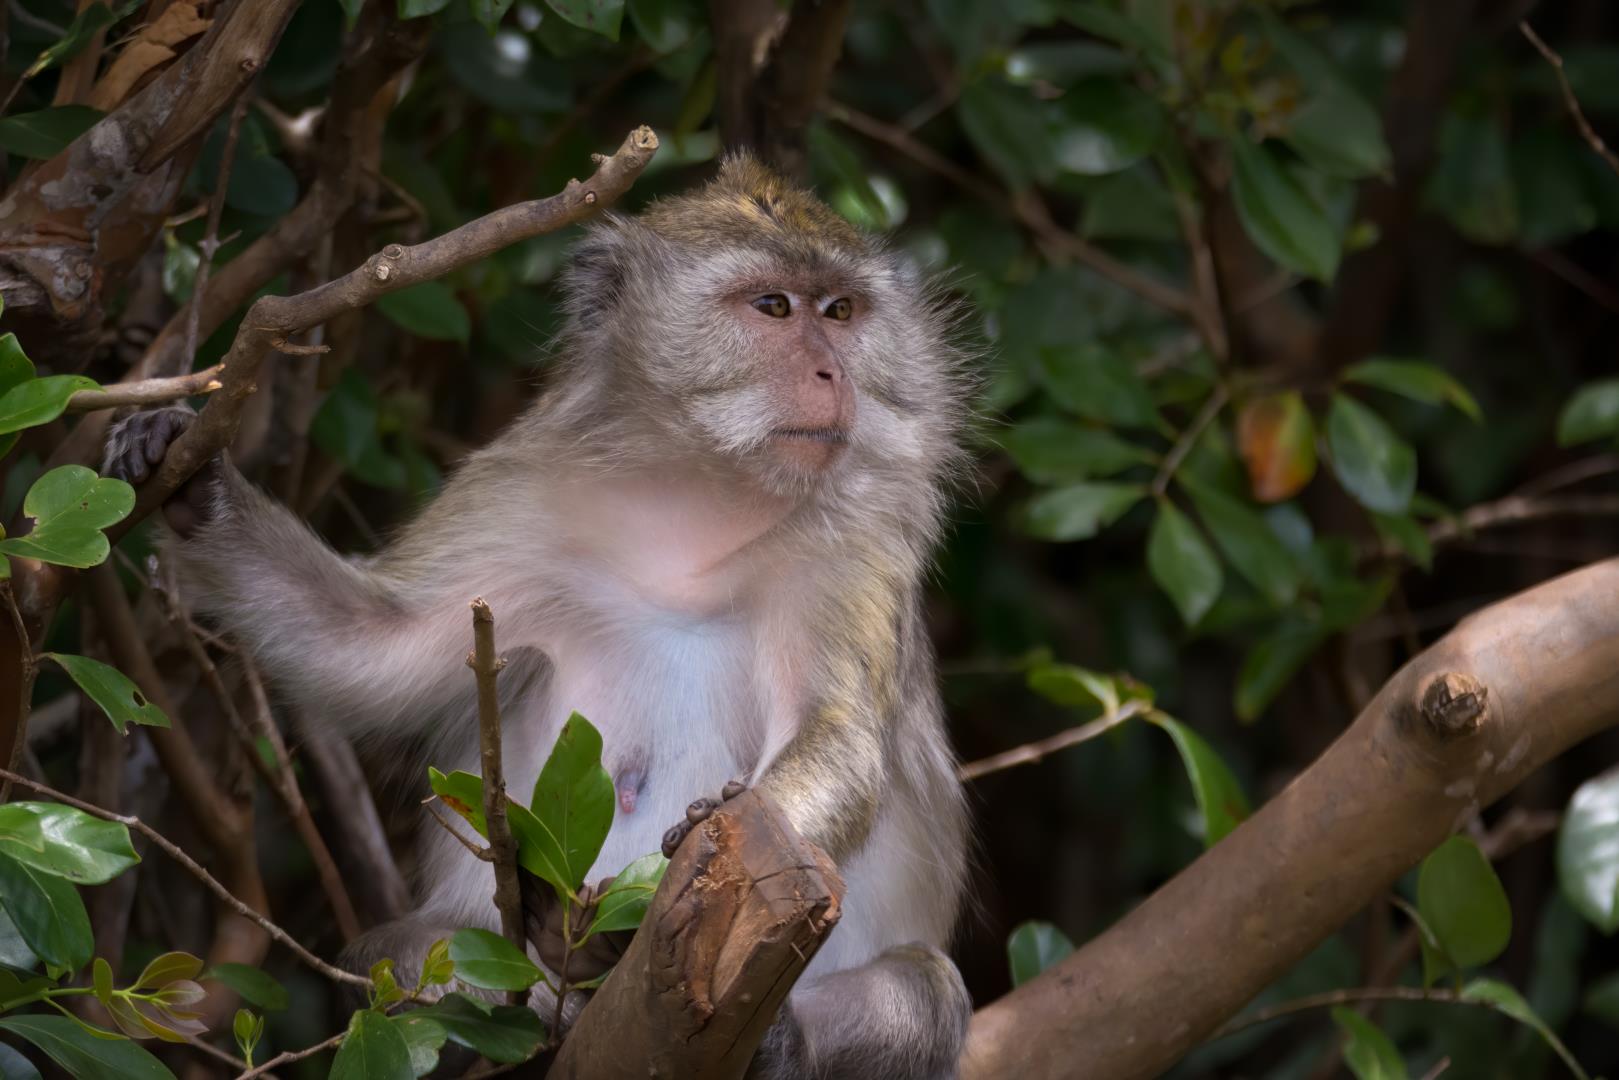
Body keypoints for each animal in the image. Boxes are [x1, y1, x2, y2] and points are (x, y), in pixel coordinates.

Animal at [114, 153, 977, 1080]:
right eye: (775, 307)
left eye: (841, 311)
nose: (832, 375)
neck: (705, 500)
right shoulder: (519, 489)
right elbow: (367, 647)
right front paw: (194, 490)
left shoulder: (856, 541)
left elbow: (837, 736)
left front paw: (683, 853)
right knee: (398, 953)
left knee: (927, 991)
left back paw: (768, 1040)